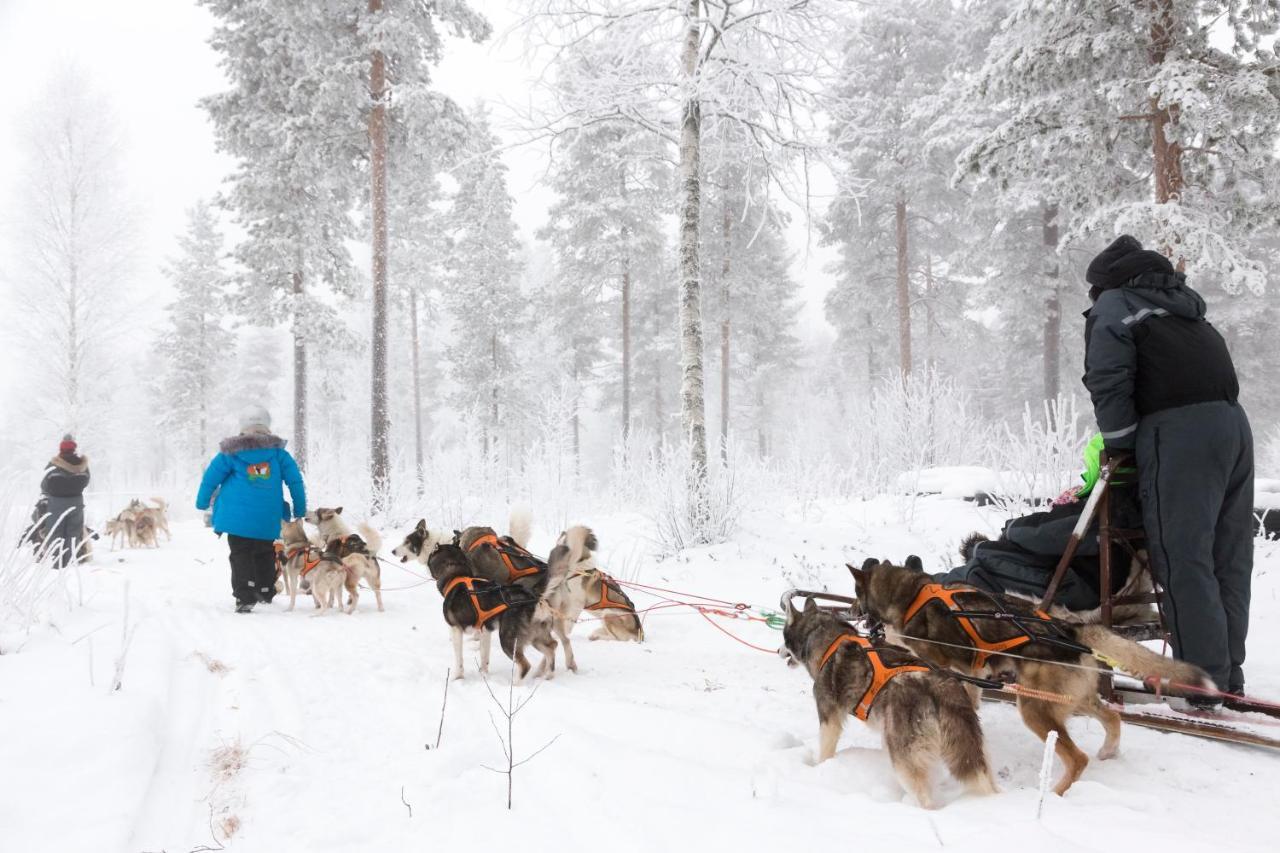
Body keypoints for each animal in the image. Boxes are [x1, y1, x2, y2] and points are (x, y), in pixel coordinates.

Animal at [778, 591, 998, 804]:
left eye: (783, 636)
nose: (778, 650)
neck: (823, 638)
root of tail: (941, 687)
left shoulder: (829, 719)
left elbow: (825, 751)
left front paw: (818, 769)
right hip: (973, 752)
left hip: (903, 759)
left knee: (925, 799)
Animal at [849, 558, 1208, 788]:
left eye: (854, 593)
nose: (852, 611)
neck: (911, 597)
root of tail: (1072, 628)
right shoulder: (970, 669)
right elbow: (971, 697)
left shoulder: (948, 662)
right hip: (1071, 699)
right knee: (1113, 717)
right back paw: (1108, 751)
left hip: (1035, 708)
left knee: (1077, 758)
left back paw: (1057, 792)